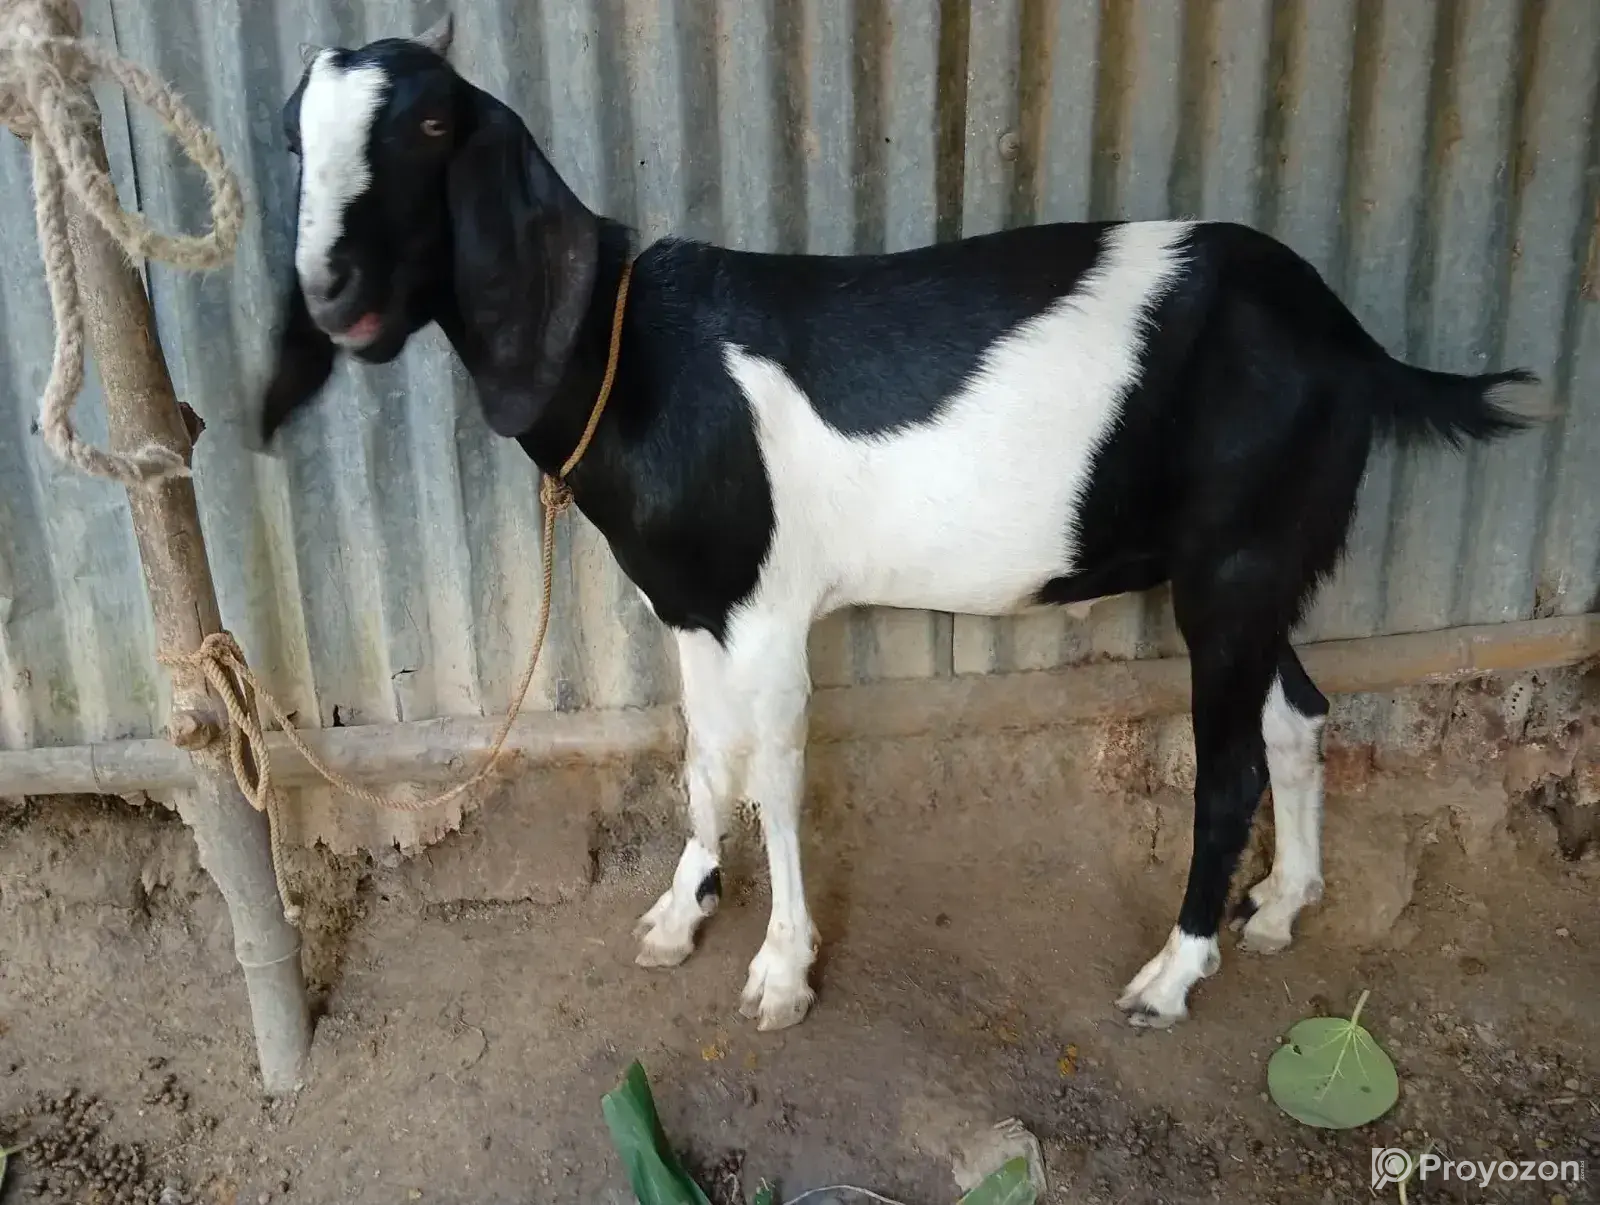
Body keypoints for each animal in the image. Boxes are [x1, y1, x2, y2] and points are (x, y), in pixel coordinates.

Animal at [257, 16, 1542, 1031]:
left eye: (430, 126)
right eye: (291, 141)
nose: (329, 289)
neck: (639, 354)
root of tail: (1351, 342)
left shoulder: (769, 613)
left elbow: (775, 771)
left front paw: (780, 972)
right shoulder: (689, 602)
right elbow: (702, 758)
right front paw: (679, 912)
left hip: (1233, 564)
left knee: (1228, 768)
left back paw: (1174, 971)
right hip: (1254, 564)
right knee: (1300, 713)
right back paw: (1280, 906)